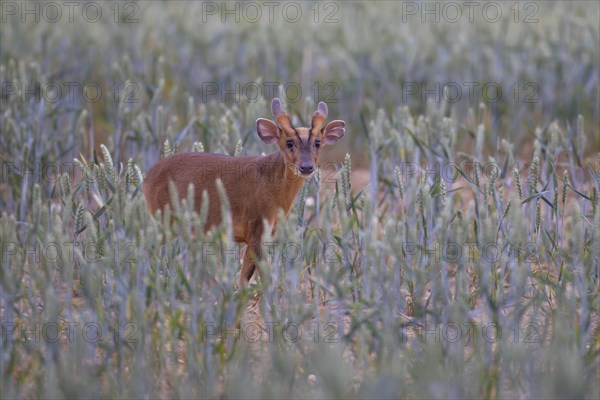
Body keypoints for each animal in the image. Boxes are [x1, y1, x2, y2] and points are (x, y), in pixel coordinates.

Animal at [142, 99, 344, 288]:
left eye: (317, 143)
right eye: (289, 143)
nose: (307, 167)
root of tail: (147, 178)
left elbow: (245, 277)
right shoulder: (256, 229)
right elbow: (256, 277)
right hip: (164, 219)